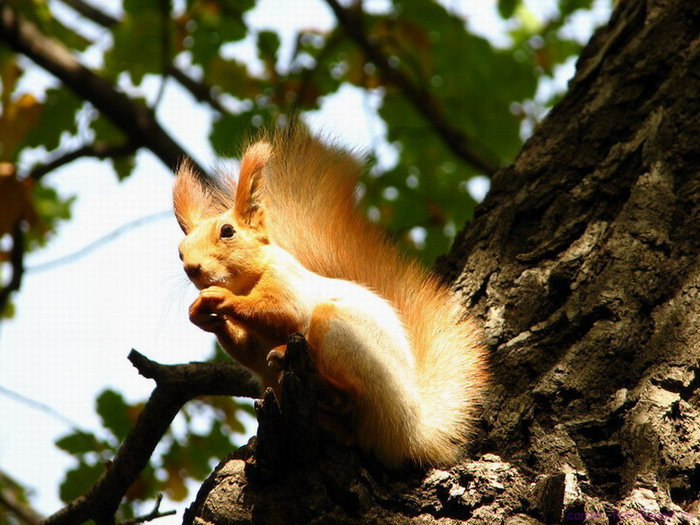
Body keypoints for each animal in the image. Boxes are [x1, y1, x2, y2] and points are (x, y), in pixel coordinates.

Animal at [173, 128, 488, 468]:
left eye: (227, 231)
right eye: (180, 251)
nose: (192, 269)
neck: (247, 283)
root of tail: (409, 431)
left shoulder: (287, 280)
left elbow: (282, 312)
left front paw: (221, 298)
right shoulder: (254, 347)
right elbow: (248, 352)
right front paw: (201, 315)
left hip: (344, 335)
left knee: (350, 395)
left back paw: (307, 372)